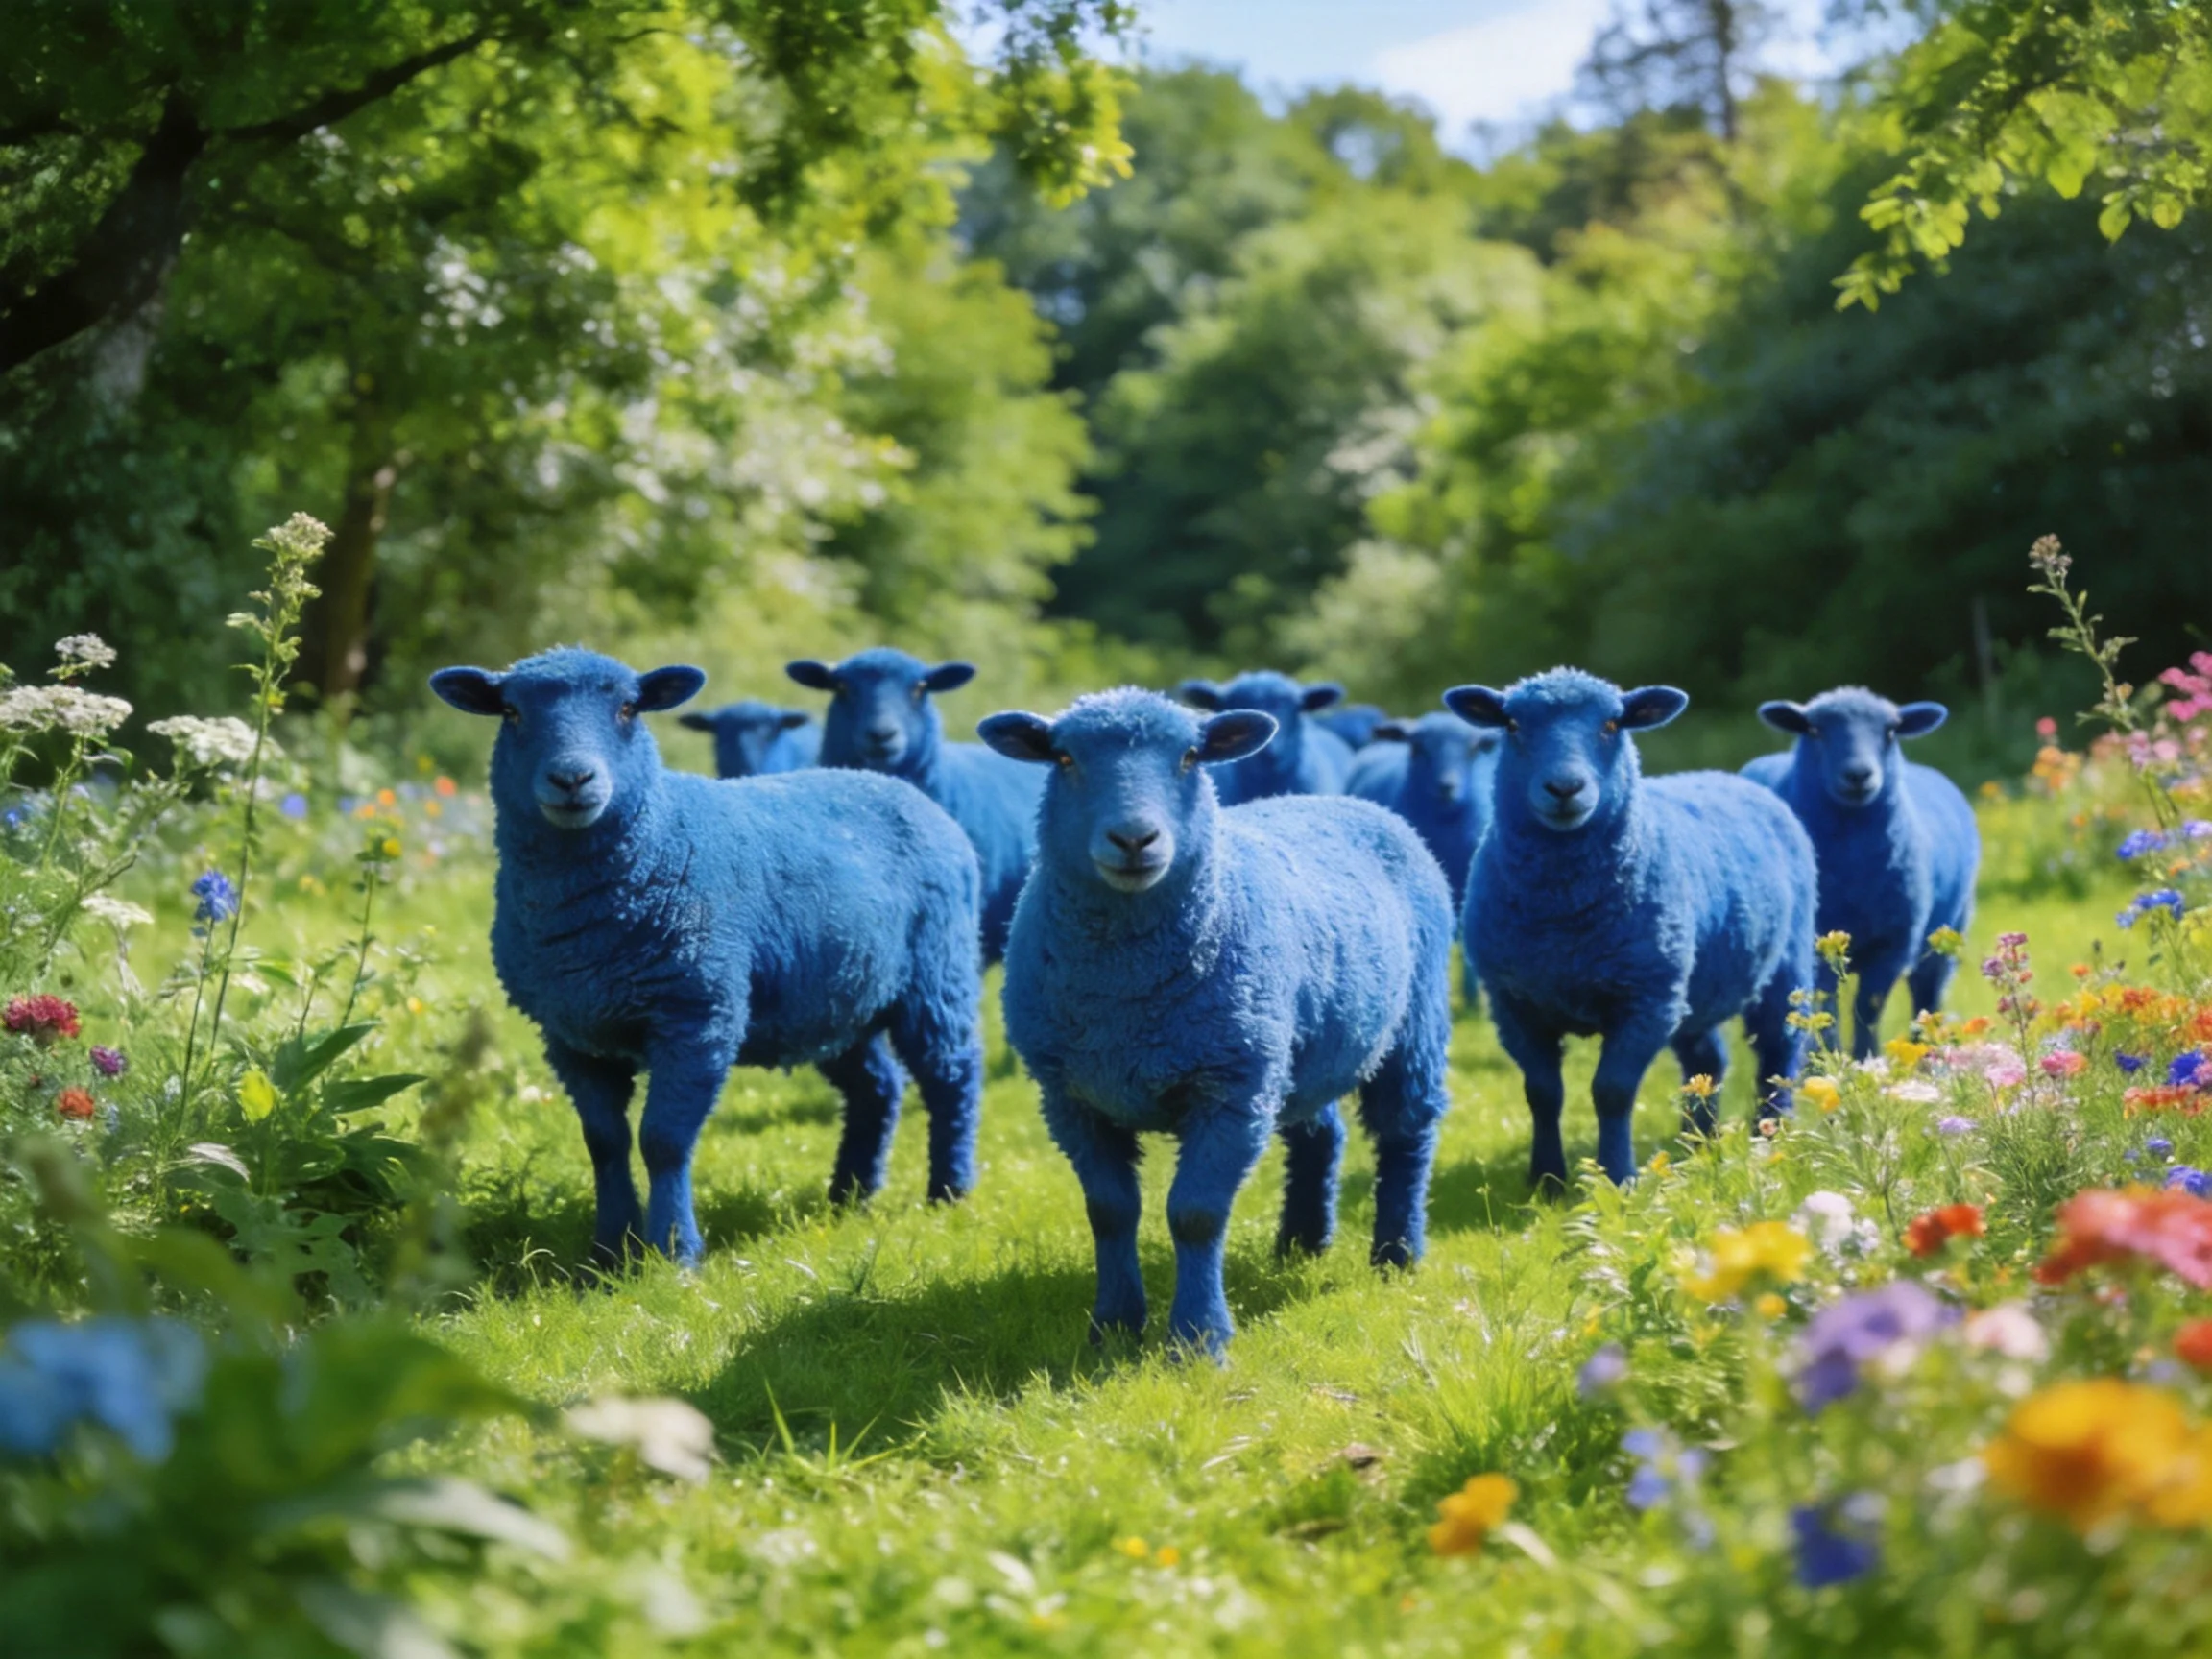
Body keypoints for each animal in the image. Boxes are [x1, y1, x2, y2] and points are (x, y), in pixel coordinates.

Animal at [979, 688, 1455, 1357]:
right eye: (1065, 758)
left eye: (1189, 757)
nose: (1134, 839)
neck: (1125, 993)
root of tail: (1349, 801)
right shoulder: (1070, 1097)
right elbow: (1109, 1210)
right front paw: (1113, 1326)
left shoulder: (1230, 1088)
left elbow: (1196, 1214)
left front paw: (1199, 1339)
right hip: (1299, 1046)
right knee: (1320, 1134)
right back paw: (1302, 1241)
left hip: (1413, 1024)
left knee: (1406, 1133)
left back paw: (1397, 1253)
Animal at [1446, 668, 1817, 1189]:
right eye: (1513, 725)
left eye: (1611, 725)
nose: (1565, 788)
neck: (1562, 916)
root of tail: (1728, 775)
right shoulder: (1513, 1004)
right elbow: (1541, 1091)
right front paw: (1546, 1179)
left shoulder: (1645, 1000)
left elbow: (1612, 1092)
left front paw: (1619, 1177)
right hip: (1691, 986)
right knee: (1707, 1060)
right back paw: (1698, 1146)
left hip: (1783, 963)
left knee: (1778, 1052)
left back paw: (1773, 1134)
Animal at [1744, 688, 1979, 1055]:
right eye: (1815, 731)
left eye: (1891, 732)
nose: (1858, 775)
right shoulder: (1818, 942)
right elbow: (1826, 1006)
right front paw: (1828, 1057)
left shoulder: (1893, 943)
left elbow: (1868, 1008)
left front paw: (1866, 1057)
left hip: (1948, 931)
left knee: (1927, 995)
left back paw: (1926, 1052)